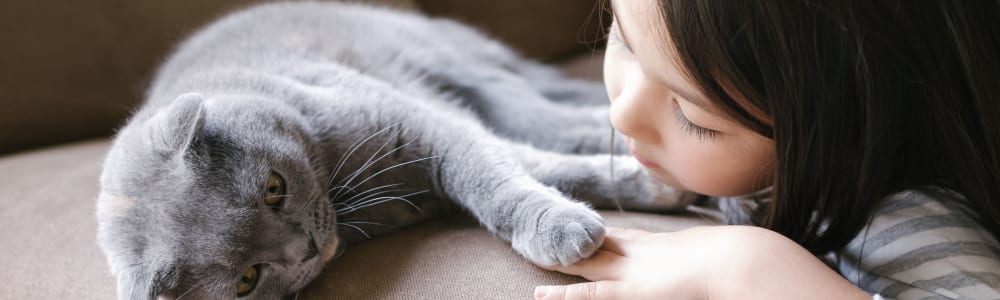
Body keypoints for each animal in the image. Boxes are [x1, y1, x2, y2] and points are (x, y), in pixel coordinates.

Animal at [95, 1, 688, 298]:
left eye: (273, 189)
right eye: (247, 279)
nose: (307, 248)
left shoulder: (422, 123)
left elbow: (500, 177)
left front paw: (570, 224)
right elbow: (533, 167)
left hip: (468, 69)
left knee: (556, 118)